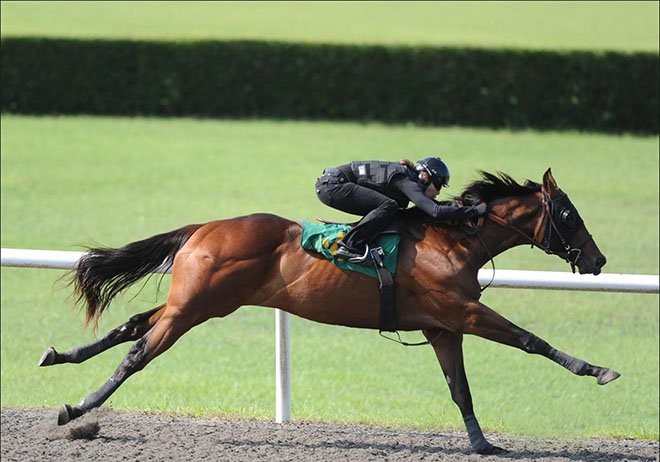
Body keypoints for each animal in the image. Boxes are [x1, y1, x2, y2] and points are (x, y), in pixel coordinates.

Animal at [40, 169, 620, 454]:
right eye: (569, 214)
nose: (598, 260)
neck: (454, 241)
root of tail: (203, 227)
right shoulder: (463, 313)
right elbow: (530, 339)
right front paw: (596, 369)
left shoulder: (441, 328)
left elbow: (461, 390)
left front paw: (482, 444)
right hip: (195, 307)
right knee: (139, 350)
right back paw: (78, 407)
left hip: (198, 301)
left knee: (131, 325)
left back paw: (60, 356)